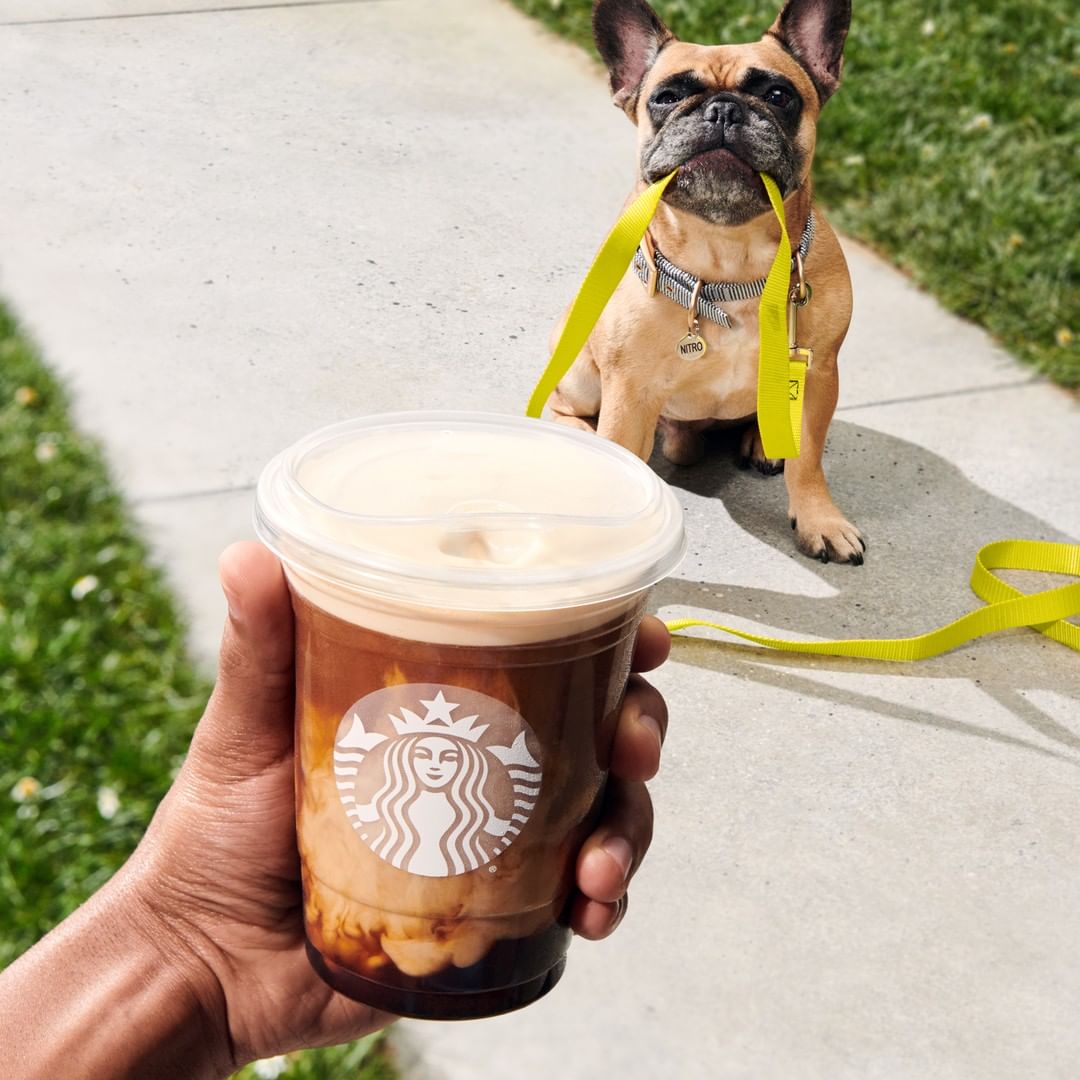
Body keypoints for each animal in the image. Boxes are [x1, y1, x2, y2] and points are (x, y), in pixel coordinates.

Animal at [552, 0, 864, 561]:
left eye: (779, 95)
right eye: (667, 97)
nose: (722, 110)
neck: (729, 257)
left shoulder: (817, 377)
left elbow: (809, 461)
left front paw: (820, 519)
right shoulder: (628, 395)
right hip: (584, 375)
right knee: (566, 406)